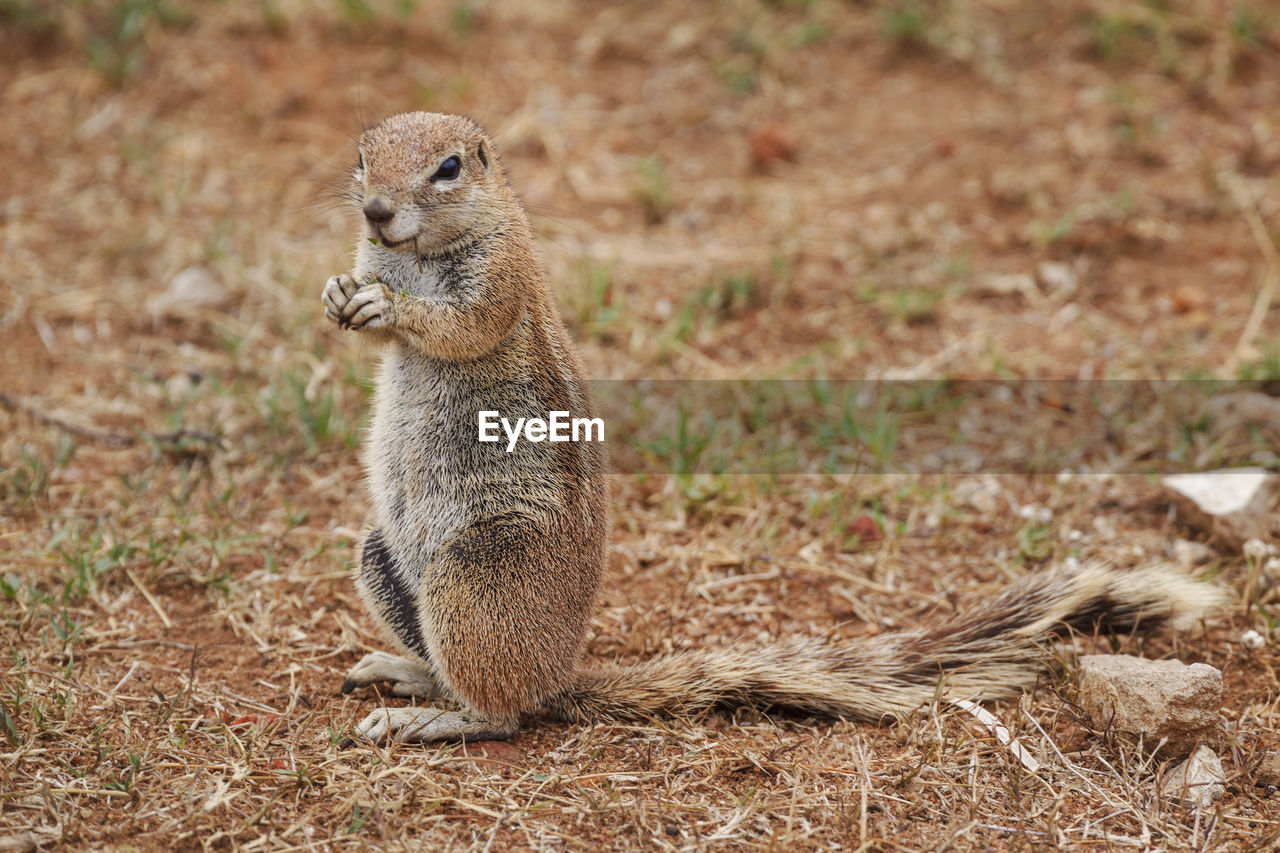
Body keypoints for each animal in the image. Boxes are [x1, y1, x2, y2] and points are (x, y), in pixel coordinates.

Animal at [322, 114, 1218, 742]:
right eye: (361, 155)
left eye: (447, 168)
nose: (375, 210)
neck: (415, 254)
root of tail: (559, 676)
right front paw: (341, 294)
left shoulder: (498, 276)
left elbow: (462, 323)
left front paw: (391, 310)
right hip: (384, 558)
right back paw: (406, 672)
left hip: (472, 577)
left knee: (504, 714)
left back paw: (430, 715)